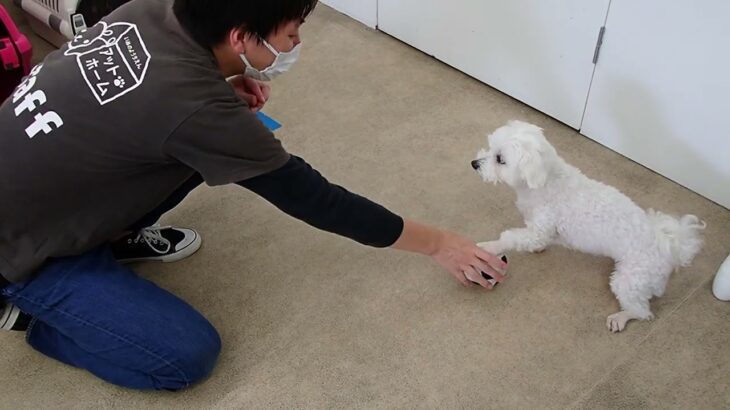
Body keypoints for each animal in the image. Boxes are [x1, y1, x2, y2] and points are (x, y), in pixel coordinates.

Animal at [470, 120, 704, 332]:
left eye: (500, 159)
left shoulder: (540, 228)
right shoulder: (543, 230)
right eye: (490, 146)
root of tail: (670, 247)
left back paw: (620, 318)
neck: (544, 181)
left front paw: (490, 247)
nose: (474, 163)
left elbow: (510, 237)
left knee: (642, 312)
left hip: (630, 280)